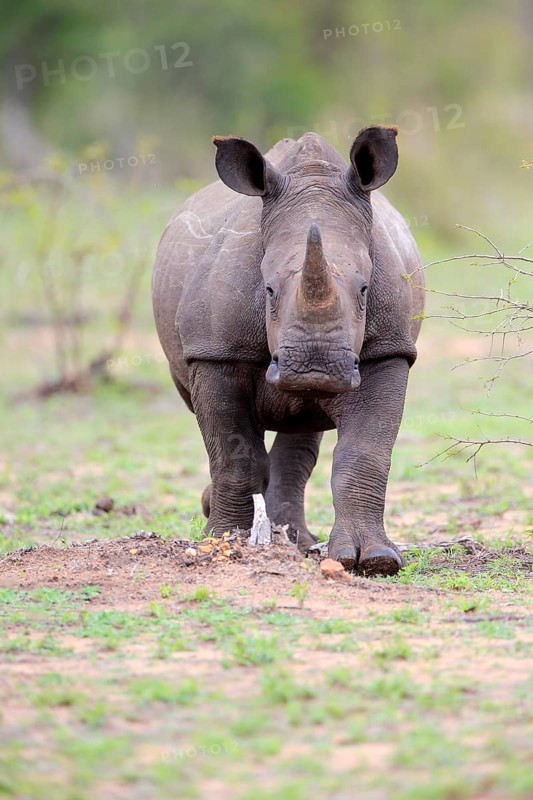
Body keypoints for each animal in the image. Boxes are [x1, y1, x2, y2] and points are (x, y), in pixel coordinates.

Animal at [152, 125, 424, 576]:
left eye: (364, 289)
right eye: (268, 290)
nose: (315, 368)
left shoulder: (388, 350)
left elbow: (365, 452)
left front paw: (375, 560)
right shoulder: (215, 352)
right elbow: (233, 452)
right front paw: (222, 540)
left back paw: (296, 540)